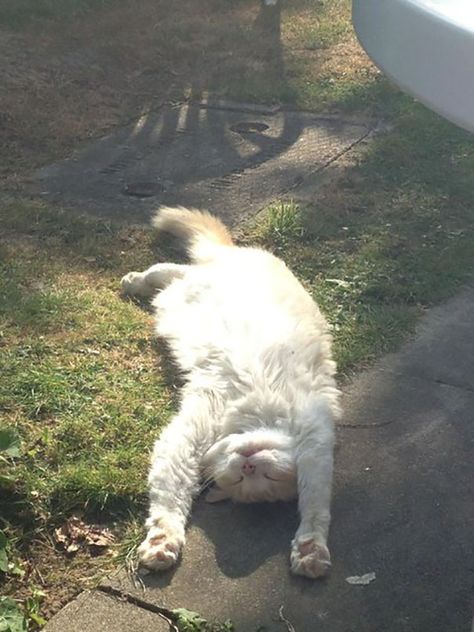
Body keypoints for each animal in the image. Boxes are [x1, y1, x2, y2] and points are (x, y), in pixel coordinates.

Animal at [119, 206, 340, 576]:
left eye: (261, 476)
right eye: (241, 477)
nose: (247, 464)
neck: (259, 416)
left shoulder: (315, 443)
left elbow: (315, 505)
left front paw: (310, 549)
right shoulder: (192, 431)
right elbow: (168, 498)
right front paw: (163, 540)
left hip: (189, 285)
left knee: (171, 275)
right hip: (203, 276)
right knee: (167, 269)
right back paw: (133, 280)